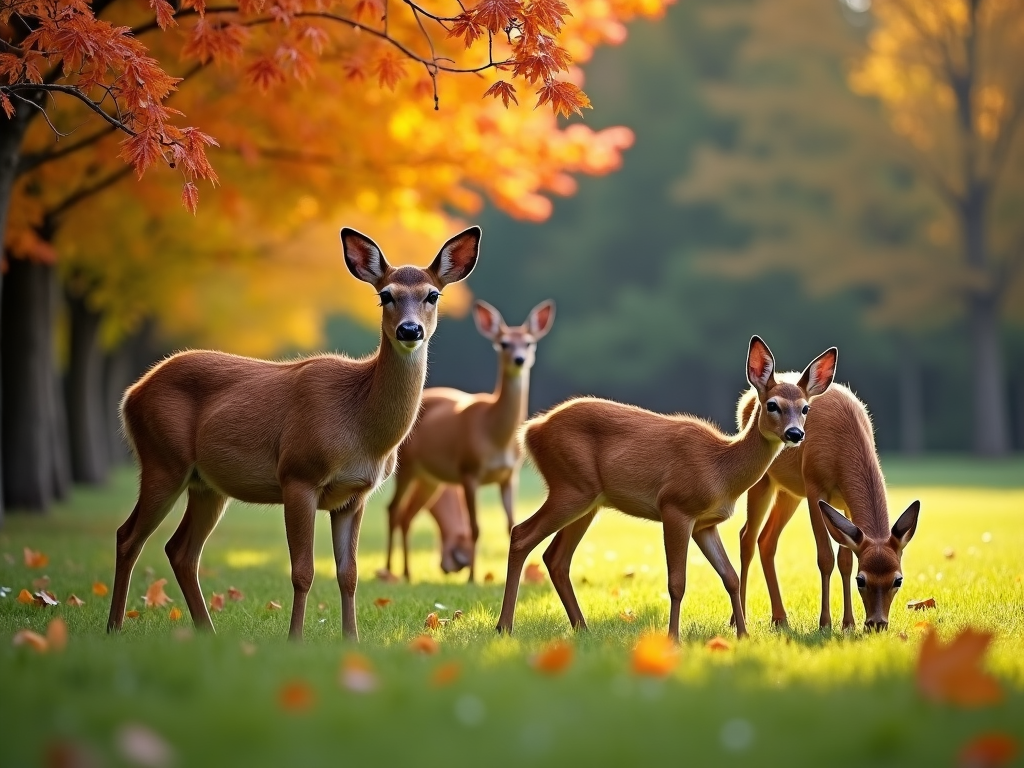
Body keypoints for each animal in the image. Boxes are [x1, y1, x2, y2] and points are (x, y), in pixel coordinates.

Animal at [105, 227, 481, 643]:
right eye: (386, 295)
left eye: (433, 295)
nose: (409, 329)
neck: (360, 425)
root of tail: (130, 395)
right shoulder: (298, 475)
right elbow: (303, 571)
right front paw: (295, 640)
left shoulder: (355, 495)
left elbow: (348, 574)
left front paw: (351, 639)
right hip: (162, 460)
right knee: (128, 536)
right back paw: (114, 627)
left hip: (206, 485)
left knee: (180, 550)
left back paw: (207, 631)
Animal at [385, 296, 561, 581]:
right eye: (503, 343)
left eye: (529, 342)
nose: (519, 359)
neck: (494, 436)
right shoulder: (469, 471)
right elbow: (476, 527)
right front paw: (471, 578)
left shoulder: (509, 475)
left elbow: (510, 524)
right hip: (407, 466)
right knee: (393, 510)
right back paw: (390, 570)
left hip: (430, 478)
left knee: (407, 515)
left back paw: (407, 573)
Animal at [495, 337, 839, 643]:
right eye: (772, 405)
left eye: (805, 409)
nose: (795, 434)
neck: (720, 470)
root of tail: (531, 430)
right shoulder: (675, 506)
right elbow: (677, 582)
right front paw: (673, 638)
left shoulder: (705, 524)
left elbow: (730, 577)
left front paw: (743, 635)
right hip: (570, 486)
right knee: (521, 534)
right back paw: (504, 627)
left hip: (588, 500)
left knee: (555, 557)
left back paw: (582, 628)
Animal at [733, 382, 925, 634]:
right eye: (861, 580)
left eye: (898, 580)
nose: (876, 623)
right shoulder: (815, 488)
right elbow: (825, 557)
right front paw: (825, 622)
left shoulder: (846, 505)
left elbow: (846, 560)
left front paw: (848, 623)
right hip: (763, 479)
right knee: (746, 536)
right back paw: (738, 619)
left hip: (790, 492)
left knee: (766, 539)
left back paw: (780, 618)